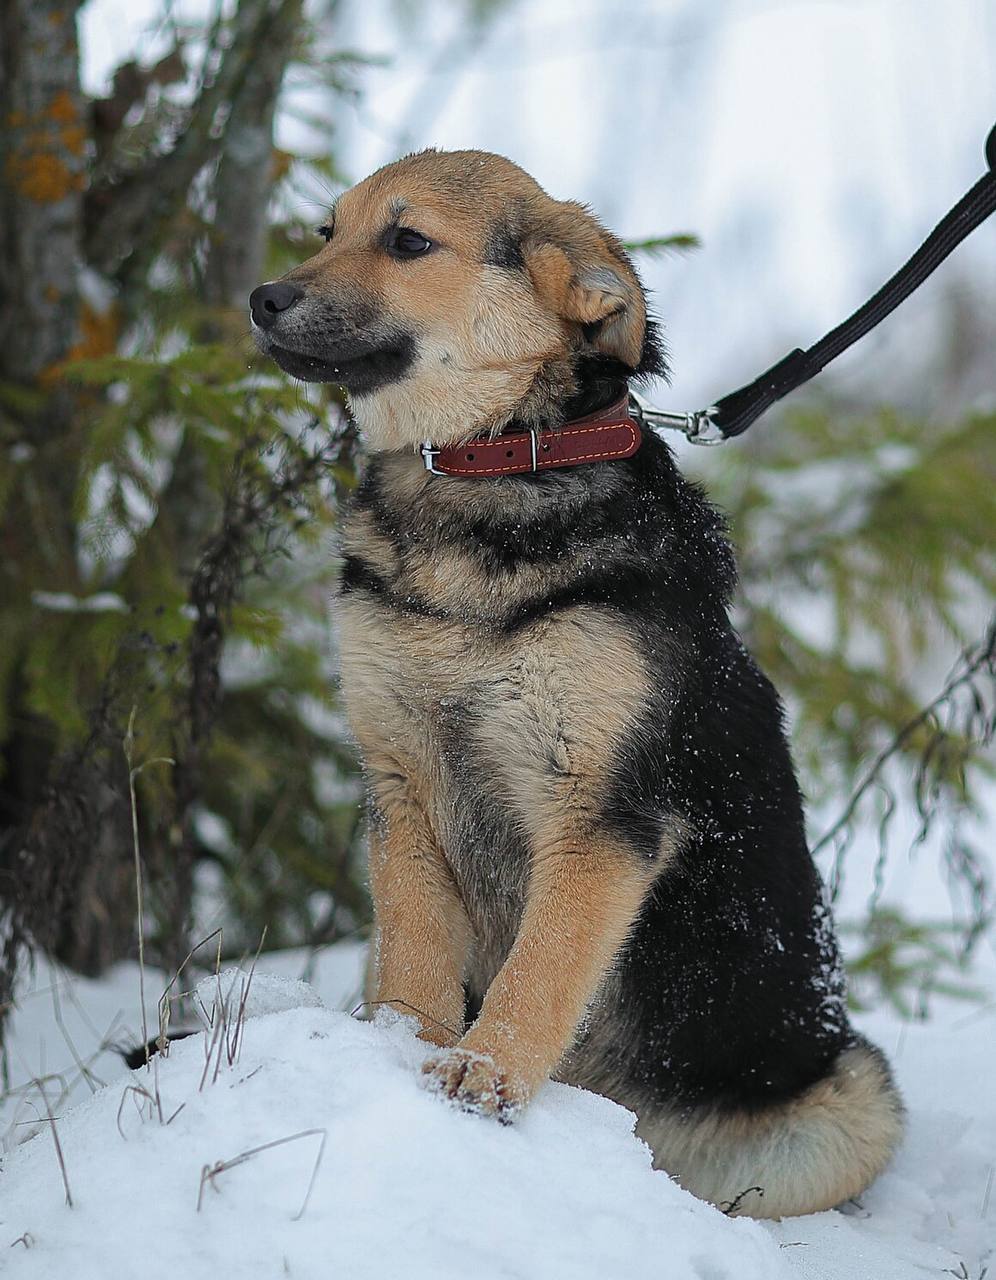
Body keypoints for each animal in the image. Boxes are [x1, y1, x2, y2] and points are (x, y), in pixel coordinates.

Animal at [248, 149, 901, 1218]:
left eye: (408, 240)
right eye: (325, 231)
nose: (262, 298)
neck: (486, 472)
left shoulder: (597, 815)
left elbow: (542, 969)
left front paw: (482, 1078)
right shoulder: (401, 779)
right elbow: (416, 947)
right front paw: (402, 1046)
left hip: (855, 1100)